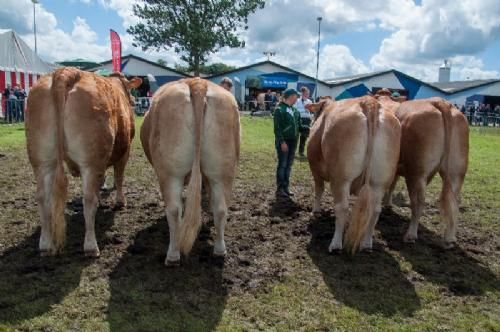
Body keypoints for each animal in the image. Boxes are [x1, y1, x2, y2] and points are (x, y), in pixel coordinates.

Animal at [26, 67, 142, 256]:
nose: (133, 100)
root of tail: (65, 72)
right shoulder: (125, 150)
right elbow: (119, 176)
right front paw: (120, 202)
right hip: (90, 161)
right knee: (88, 200)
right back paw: (91, 246)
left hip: (41, 160)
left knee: (43, 198)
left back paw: (45, 245)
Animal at [141, 76, 240, 266]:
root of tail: (197, 83)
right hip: (222, 170)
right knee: (221, 208)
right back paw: (220, 251)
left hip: (170, 172)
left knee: (173, 209)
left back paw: (173, 255)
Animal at [306, 97, 400, 253]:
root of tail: (368, 101)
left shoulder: (315, 169)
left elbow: (319, 190)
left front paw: (316, 211)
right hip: (380, 181)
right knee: (375, 210)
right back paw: (367, 244)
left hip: (341, 178)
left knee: (342, 207)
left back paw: (336, 244)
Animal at [376, 92, 468, 248]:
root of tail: (440, 102)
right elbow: (393, 183)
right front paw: (387, 204)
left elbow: (390, 183)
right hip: (456, 172)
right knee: (454, 202)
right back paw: (450, 238)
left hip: (416, 171)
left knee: (418, 202)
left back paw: (410, 235)